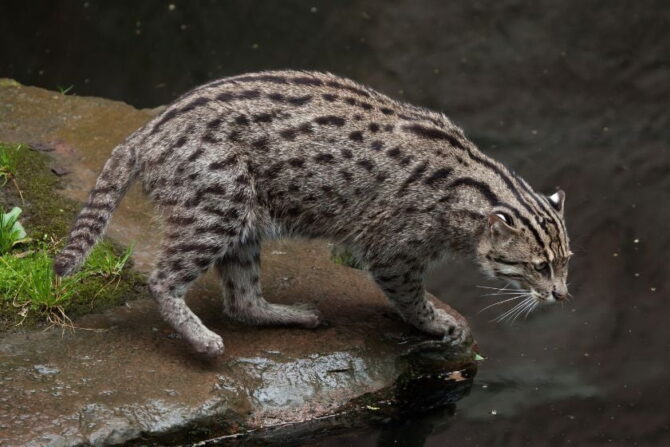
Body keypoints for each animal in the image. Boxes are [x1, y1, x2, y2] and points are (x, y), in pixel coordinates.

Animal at [53, 71, 572, 356]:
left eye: (566, 262)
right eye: (538, 266)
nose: (562, 295)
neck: (472, 188)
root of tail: (147, 131)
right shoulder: (393, 251)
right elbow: (410, 297)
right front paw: (437, 322)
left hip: (240, 222)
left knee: (241, 300)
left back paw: (286, 315)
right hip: (215, 208)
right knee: (162, 281)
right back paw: (200, 339)